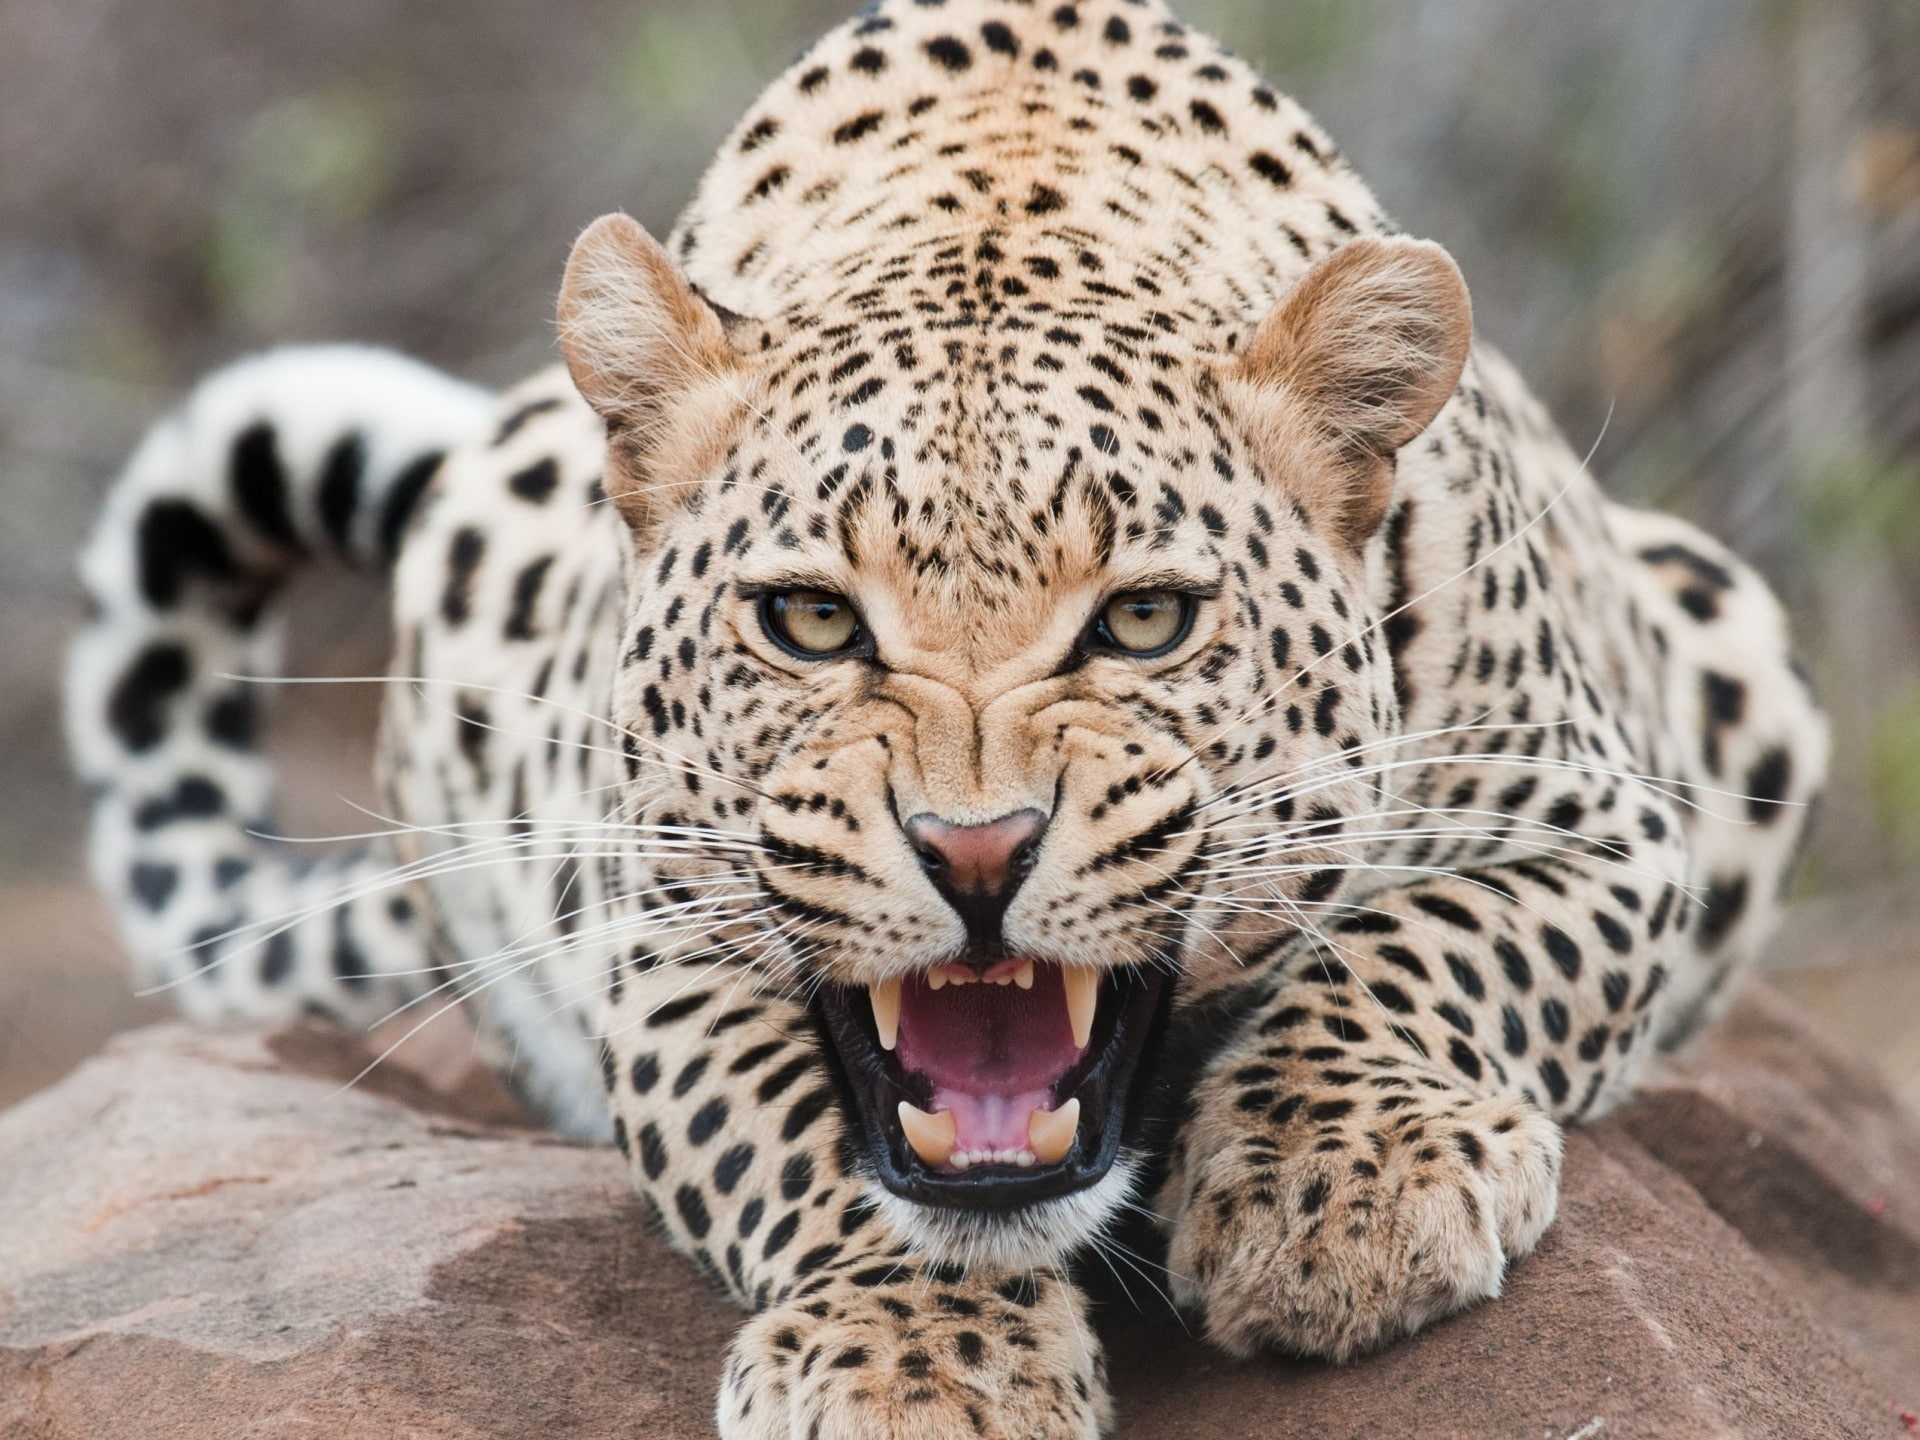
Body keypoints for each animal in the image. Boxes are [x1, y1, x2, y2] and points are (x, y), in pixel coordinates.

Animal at [66, 1, 1829, 1435]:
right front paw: (915, 1362)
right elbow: (795, 1139)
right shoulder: (662, 936)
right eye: (810, 620)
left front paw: (1339, 1196)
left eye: (1144, 621)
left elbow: (1427, 948)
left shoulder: (1602, 823)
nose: (977, 854)